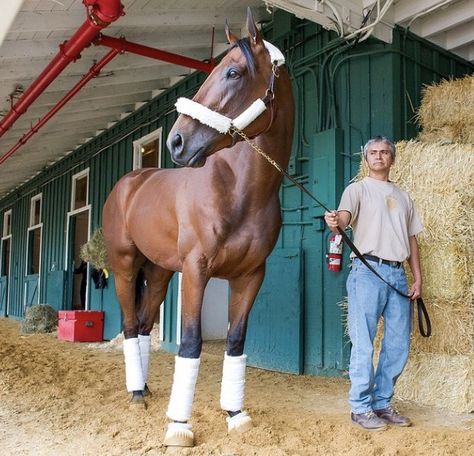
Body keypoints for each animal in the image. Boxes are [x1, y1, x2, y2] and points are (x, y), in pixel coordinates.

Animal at [103, 8, 292, 448]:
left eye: (234, 73)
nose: (175, 141)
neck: (239, 190)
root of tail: (128, 183)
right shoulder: (196, 270)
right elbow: (190, 343)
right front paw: (179, 426)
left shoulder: (250, 276)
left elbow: (236, 342)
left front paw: (236, 414)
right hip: (125, 267)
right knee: (128, 325)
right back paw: (136, 394)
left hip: (158, 273)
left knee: (142, 325)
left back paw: (145, 388)